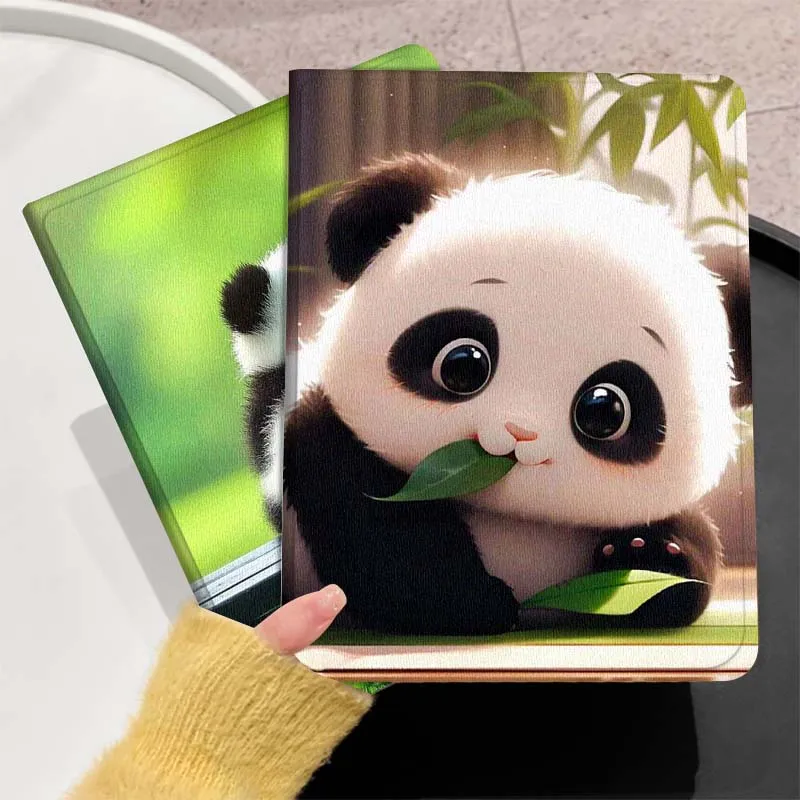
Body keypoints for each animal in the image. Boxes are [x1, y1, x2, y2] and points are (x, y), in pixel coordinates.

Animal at [221, 153, 752, 636]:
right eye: (462, 364)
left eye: (605, 410)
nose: (520, 433)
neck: (509, 515)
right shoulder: (322, 445)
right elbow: (379, 529)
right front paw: (474, 600)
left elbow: (679, 570)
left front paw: (645, 551)